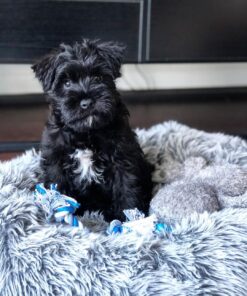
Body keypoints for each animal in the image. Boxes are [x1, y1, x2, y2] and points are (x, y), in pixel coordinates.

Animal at [32, 38, 152, 221]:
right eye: (66, 83)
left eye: (98, 77)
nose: (86, 102)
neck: (86, 133)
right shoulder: (55, 163)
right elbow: (58, 190)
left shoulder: (122, 161)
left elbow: (126, 190)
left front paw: (129, 219)